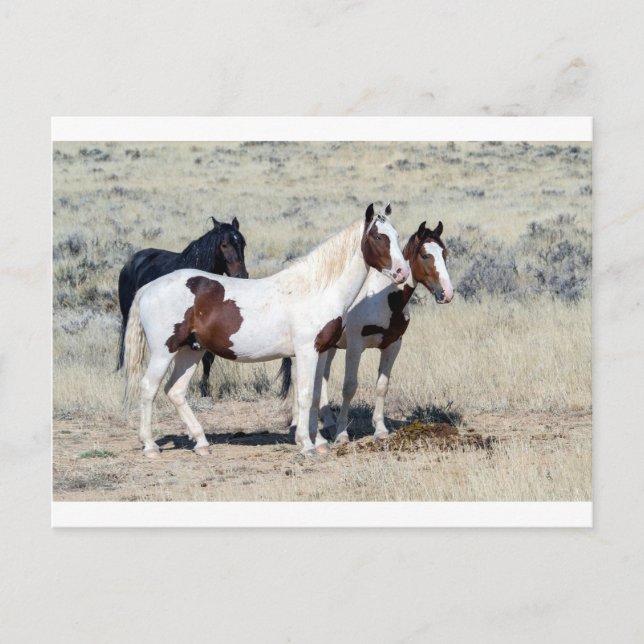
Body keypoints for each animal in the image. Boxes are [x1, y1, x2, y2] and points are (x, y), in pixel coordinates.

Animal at [117, 216, 248, 397]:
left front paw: (204, 390)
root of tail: (131, 262)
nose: (241, 275)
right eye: (224, 244)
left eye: (243, 243)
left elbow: (208, 358)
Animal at [282, 220, 453, 443]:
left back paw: (327, 422)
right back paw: (297, 424)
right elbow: (349, 387)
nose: (447, 293)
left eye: (444, 253)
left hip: (329, 347)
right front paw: (342, 433)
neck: (382, 298)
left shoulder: (393, 345)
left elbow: (382, 386)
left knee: (322, 377)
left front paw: (380, 429)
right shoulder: (355, 347)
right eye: (425, 255)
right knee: (297, 377)